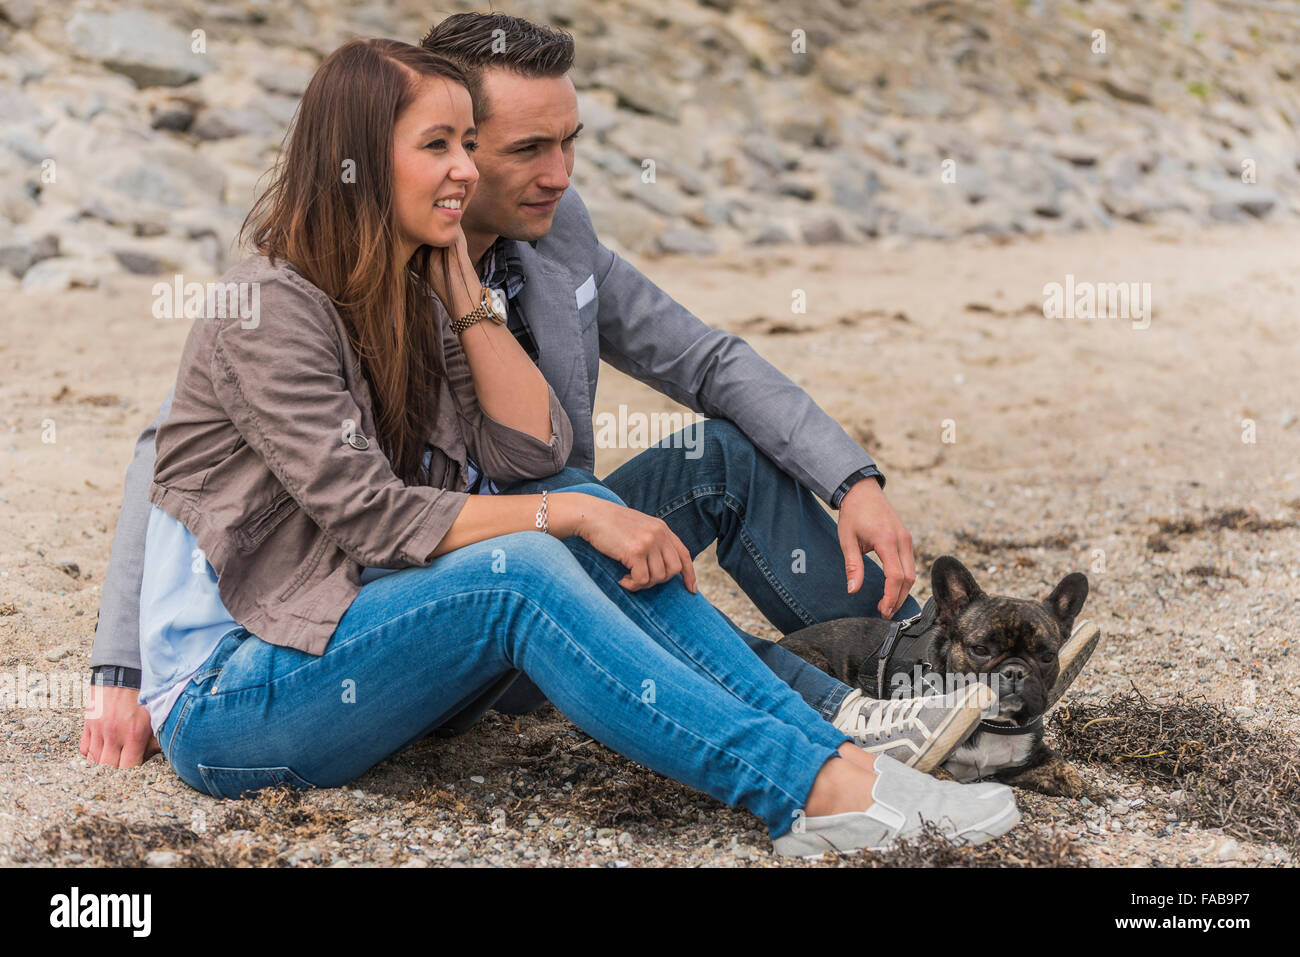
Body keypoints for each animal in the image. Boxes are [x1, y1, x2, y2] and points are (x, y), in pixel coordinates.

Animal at [780, 556, 1097, 795]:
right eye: (980, 649)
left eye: (1047, 656)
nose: (1015, 671)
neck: (991, 725)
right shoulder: (931, 764)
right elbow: (946, 780)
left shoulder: (1029, 757)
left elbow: (1066, 771)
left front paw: (1088, 787)